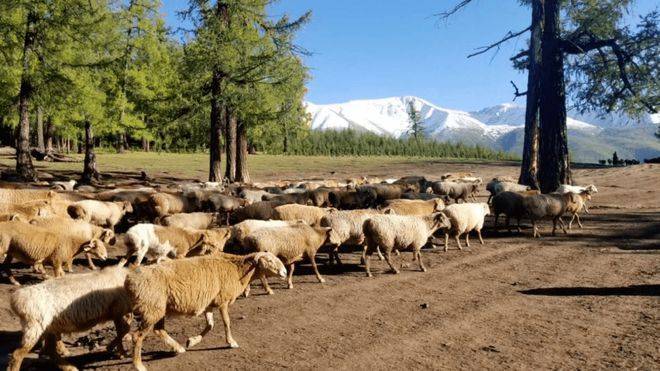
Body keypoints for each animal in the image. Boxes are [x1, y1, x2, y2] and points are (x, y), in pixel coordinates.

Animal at [126, 251, 286, 370]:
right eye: (269, 261)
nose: (284, 272)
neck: (237, 269)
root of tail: (131, 281)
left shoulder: (209, 304)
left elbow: (210, 325)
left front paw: (192, 341)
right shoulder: (223, 301)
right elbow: (227, 322)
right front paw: (231, 342)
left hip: (158, 310)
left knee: (159, 330)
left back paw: (178, 348)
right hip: (151, 310)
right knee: (138, 336)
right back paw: (139, 365)